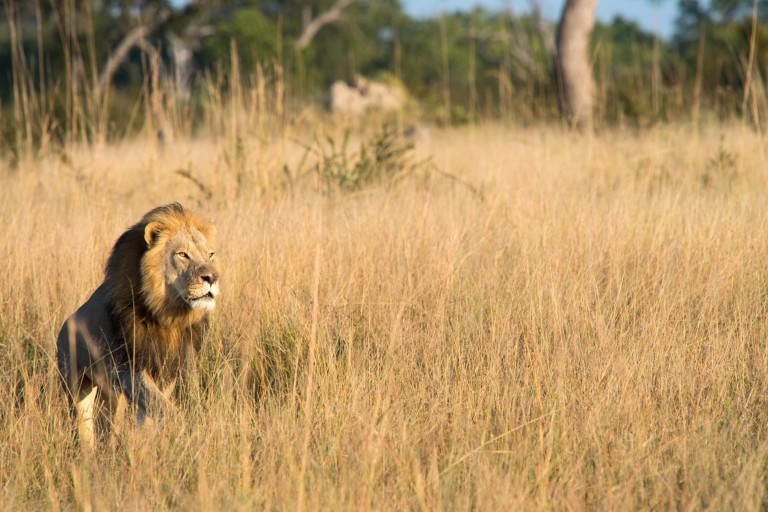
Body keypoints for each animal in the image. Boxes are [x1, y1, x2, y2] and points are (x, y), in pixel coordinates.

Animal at [56, 202, 219, 446]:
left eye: (210, 254)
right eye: (183, 254)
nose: (212, 278)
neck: (168, 314)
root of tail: (64, 326)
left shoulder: (168, 367)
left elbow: (151, 408)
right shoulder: (128, 366)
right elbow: (158, 403)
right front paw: (181, 427)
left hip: (111, 394)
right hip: (76, 383)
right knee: (84, 422)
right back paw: (88, 450)